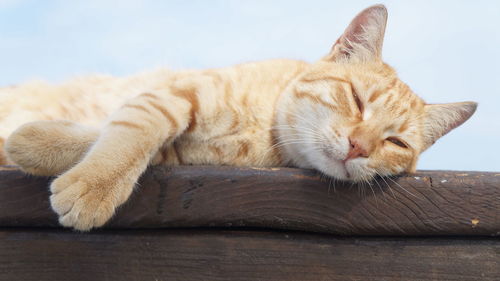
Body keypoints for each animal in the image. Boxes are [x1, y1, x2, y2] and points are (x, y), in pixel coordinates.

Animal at [0, 4, 476, 230]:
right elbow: (130, 130)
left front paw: (36, 145)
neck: (262, 132)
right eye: (357, 99)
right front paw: (91, 181)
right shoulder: (175, 94)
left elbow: (118, 137)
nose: (359, 145)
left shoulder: (185, 154)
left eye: (396, 142)